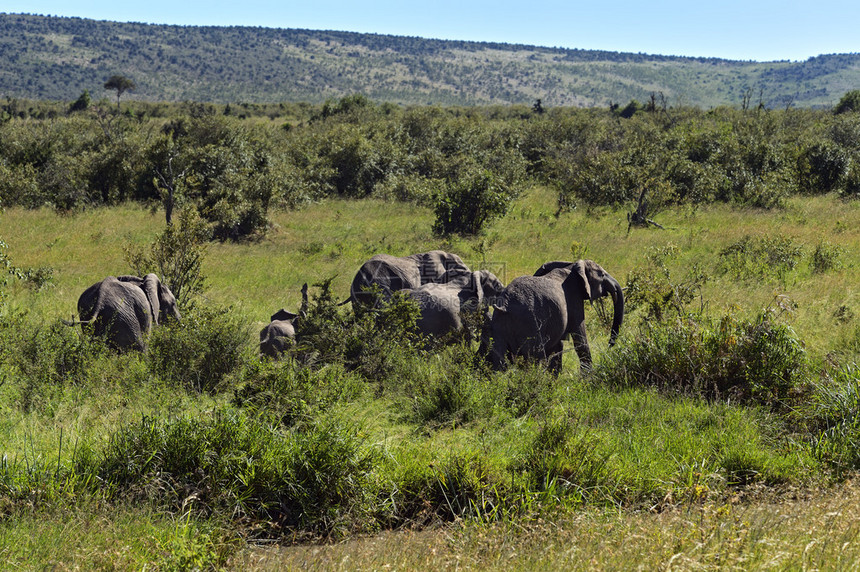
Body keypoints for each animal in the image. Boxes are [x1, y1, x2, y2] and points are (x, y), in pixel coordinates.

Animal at [488, 260, 620, 376]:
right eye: (602, 274)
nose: (609, 346)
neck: (571, 265)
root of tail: (505, 306)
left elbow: (557, 346)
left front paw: (554, 379)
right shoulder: (574, 298)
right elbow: (580, 340)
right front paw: (587, 378)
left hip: (499, 326)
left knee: (499, 360)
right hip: (528, 324)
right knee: (533, 357)